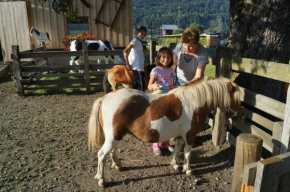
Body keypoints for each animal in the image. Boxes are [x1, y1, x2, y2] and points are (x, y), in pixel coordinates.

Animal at [88, 77, 245, 187]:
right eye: (237, 98)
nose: (241, 113)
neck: (194, 103)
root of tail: (104, 98)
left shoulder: (180, 136)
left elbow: (177, 150)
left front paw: (175, 164)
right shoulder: (190, 136)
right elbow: (187, 154)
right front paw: (187, 169)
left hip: (115, 136)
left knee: (111, 152)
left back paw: (118, 165)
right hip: (112, 137)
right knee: (101, 155)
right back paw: (101, 180)